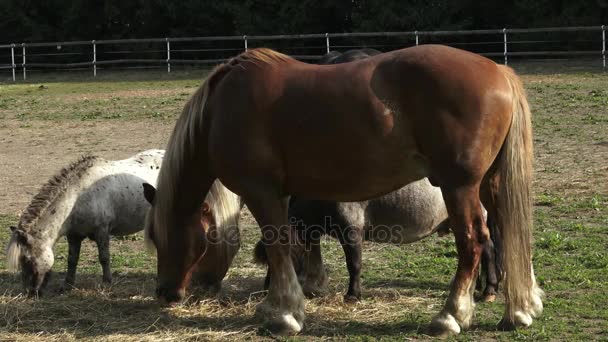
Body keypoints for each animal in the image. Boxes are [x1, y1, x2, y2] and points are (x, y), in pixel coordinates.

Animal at [142, 45, 540, 336]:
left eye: (162, 236)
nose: (165, 293)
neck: (219, 110)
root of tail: (500, 72)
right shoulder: (285, 197)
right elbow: (295, 246)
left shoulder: (262, 192)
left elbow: (278, 246)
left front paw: (284, 314)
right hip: (489, 184)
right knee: (510, 230)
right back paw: (521, 308)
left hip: (459, 186)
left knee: (474, 240)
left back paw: (451, 316)